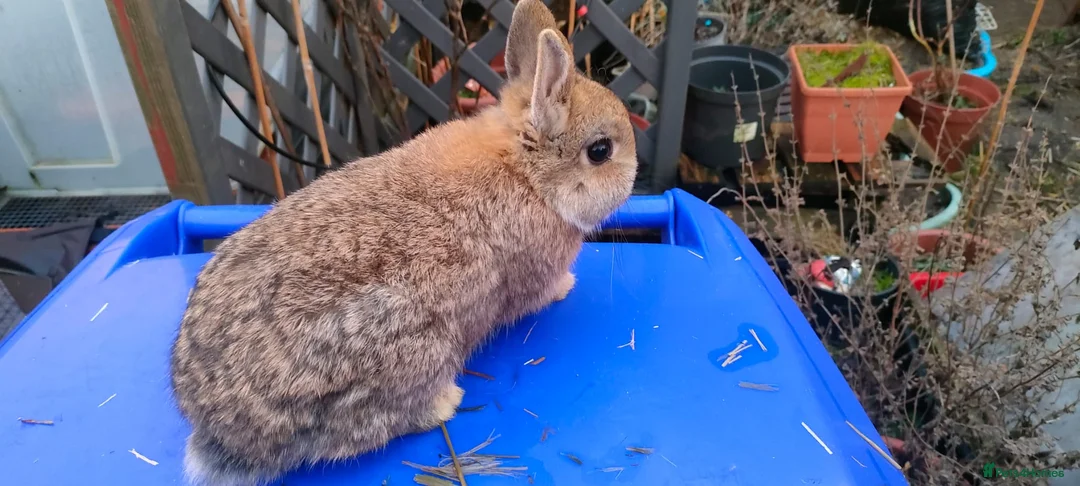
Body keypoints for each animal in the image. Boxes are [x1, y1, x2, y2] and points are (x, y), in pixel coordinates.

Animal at [170, 0, 637, 484]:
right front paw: (566, 286)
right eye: (600, 151)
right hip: (410, 355)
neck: (527, 174)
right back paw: (447, 401)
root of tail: (224, 430)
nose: (633, 177)